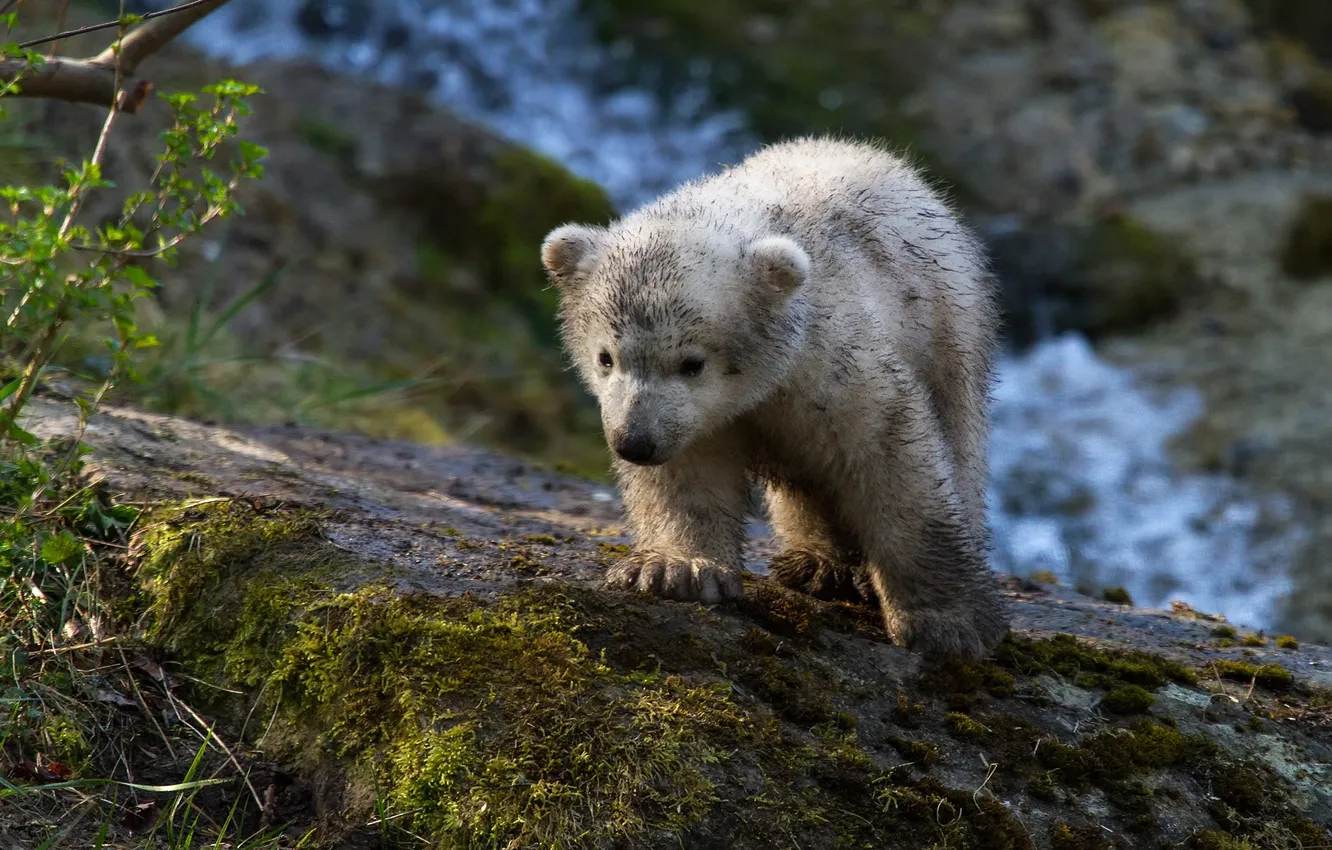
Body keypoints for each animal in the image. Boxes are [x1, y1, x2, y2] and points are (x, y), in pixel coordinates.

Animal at [540, 135, 1010, 659]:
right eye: (606, 357)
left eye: (692, 362)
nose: (634, 443)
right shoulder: (698, 421)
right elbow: (687, 474)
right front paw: (675, 570)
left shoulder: (832, 364)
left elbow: (892, 460)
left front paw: (949, 622)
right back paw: (820, 565)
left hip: (951, 332)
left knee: (957, 438)